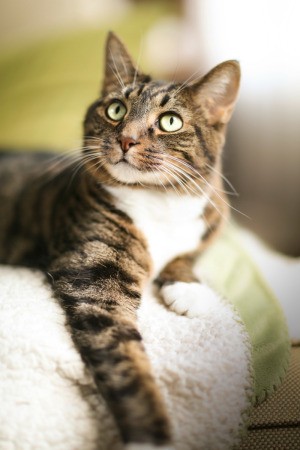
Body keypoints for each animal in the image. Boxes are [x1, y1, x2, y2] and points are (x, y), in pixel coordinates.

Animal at [0, 32, 240, 450]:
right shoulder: (96, 277)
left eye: (170, 121)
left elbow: (190, 253)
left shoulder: (212, 217)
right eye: (115, 109)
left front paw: (188, 287)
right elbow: (125, 360)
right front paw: (148, 436)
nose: (126, 138)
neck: (159, 201)